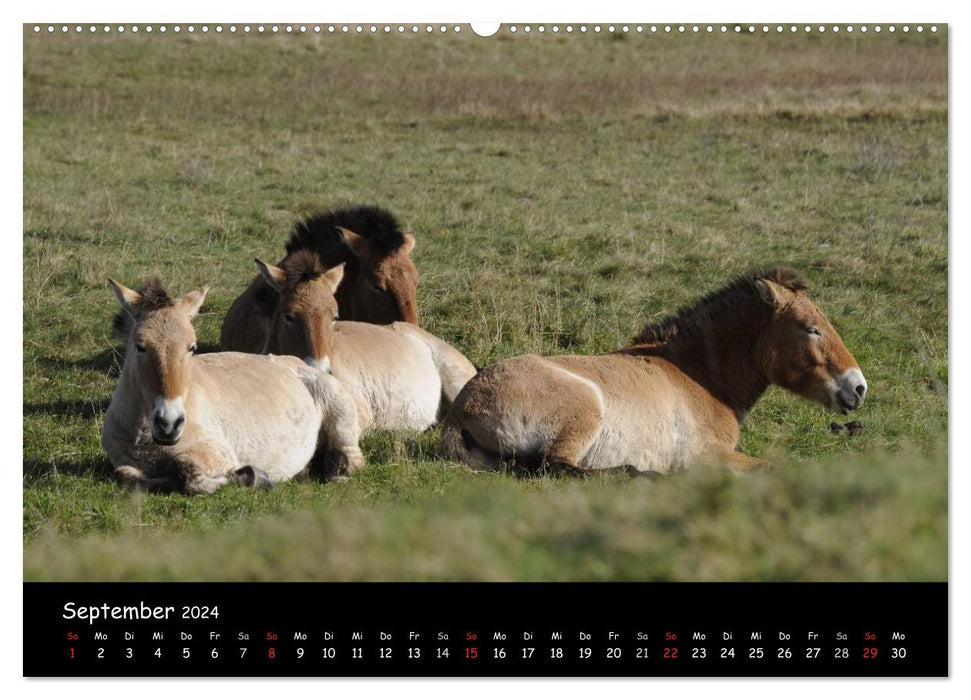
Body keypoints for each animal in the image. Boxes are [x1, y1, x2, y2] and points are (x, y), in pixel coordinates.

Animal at [101, 276, 364, 494]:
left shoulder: (218, 452)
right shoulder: (124, 464)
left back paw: (335, 469)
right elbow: (127, 476)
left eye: (192, 347)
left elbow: (184, 470)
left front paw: (249, 477)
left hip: (339, 412)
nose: (169, 423)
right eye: (140, 346)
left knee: (352, 458)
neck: (144, 440)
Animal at [440, 268, 864, 476]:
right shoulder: (706, 457)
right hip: (583, 413)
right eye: (811, 328)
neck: (698, 375)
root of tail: (463, 407)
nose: (858, 387)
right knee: (556, 467)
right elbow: (775, 468)